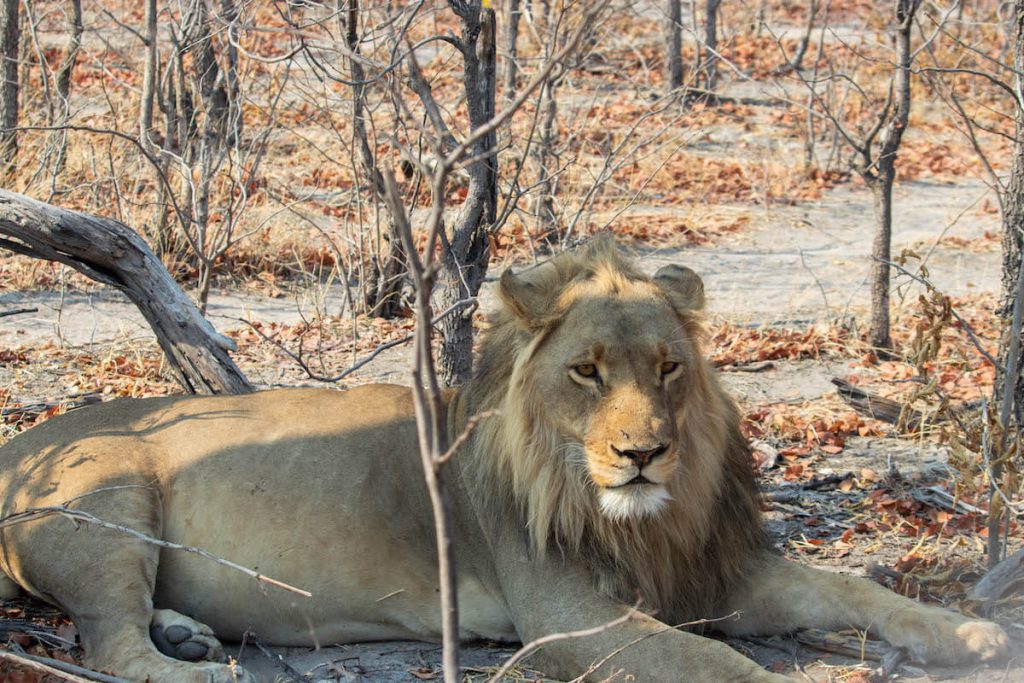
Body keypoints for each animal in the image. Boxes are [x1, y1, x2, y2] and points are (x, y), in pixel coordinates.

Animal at [0, 240, 1007, 683]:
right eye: (587, 371)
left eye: (668, 368)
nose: (644, 453)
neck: (647, 517)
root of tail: (16, 440)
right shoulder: (565, 616)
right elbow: (720, 665)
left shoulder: (712, 570)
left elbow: (853, 586)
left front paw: (972, 635)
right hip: (112, 498)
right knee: (112, 645)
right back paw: (198, 666)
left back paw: (190, 633)